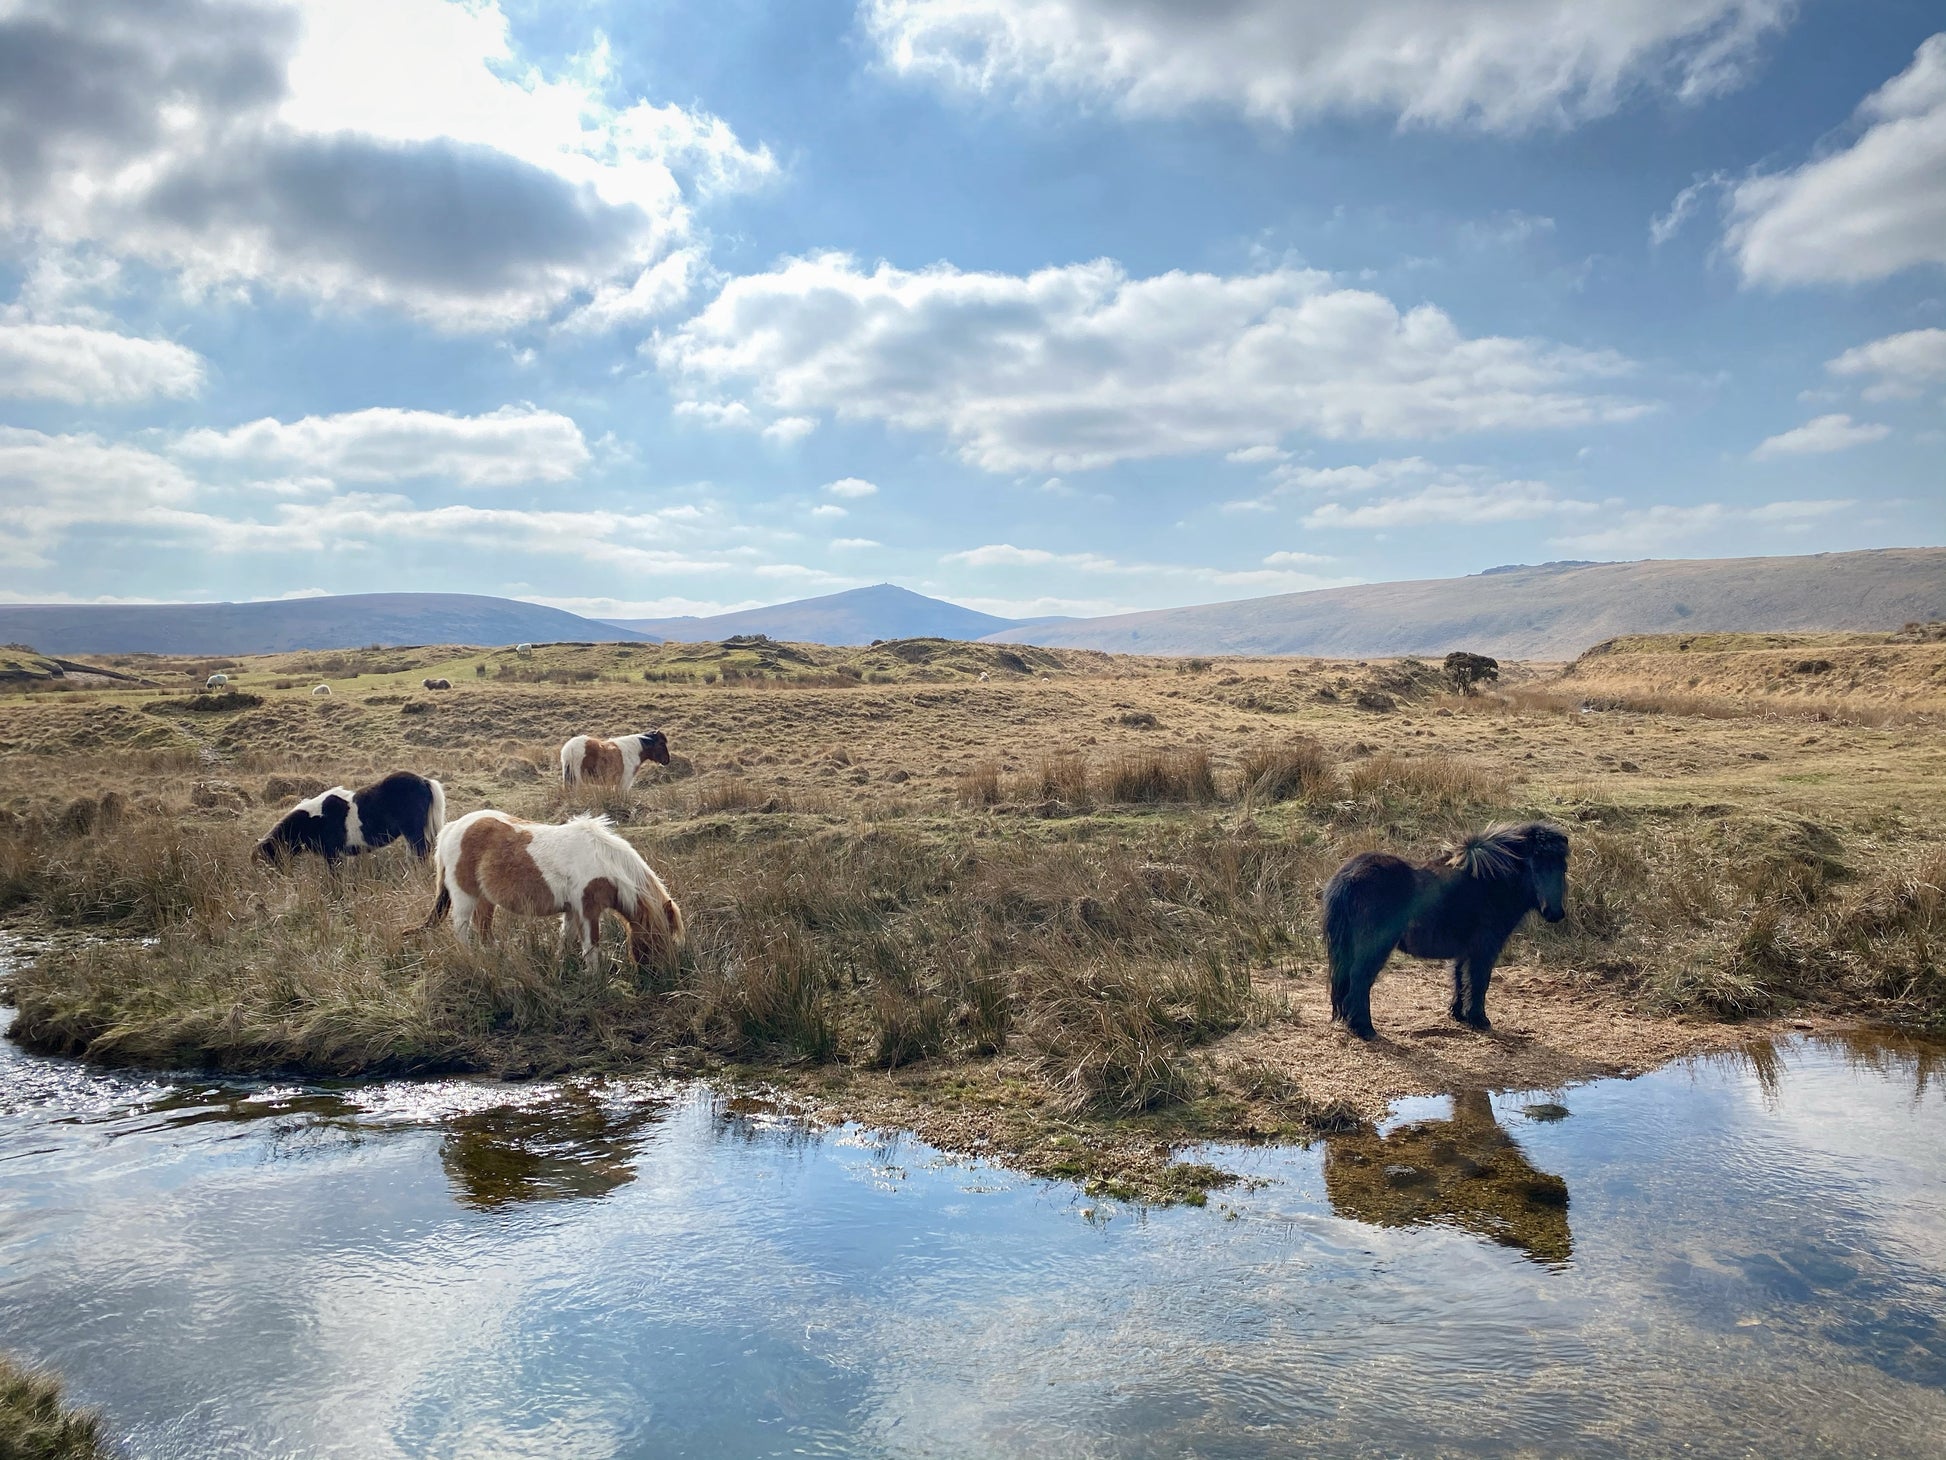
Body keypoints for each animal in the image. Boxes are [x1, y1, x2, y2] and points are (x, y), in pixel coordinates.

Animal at [256, 772, 446, 865]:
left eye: (269, 855)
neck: (314, 819)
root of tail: (423, 781)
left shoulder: (333, 854)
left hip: (413, 831)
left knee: (421, 852)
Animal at [418, 810, 685, 967]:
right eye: (656, 940)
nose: (661, 976)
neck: (603, 860)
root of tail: (451, 828)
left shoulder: (572, 909)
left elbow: (566, 937)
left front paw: (561, 964)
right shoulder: (587, 910)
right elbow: (591, 945)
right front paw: (594, 978)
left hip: (485, 898)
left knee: (483, 927)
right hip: (465, 896)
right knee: (462, 930)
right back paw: (472, 959)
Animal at [1322, 822, 1569, 1040]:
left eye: (1562, 867)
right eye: (1535, 864)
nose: (1554, 912)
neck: (1489, 883)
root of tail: (1349, 875)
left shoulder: (1465, 950)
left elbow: (1460, 979)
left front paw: (1459, 1014)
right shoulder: (1484, 949)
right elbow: (1479, 982)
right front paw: (1479, 1019)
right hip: (1374, 948)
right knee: (1360, 980)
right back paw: (1365, 1029)